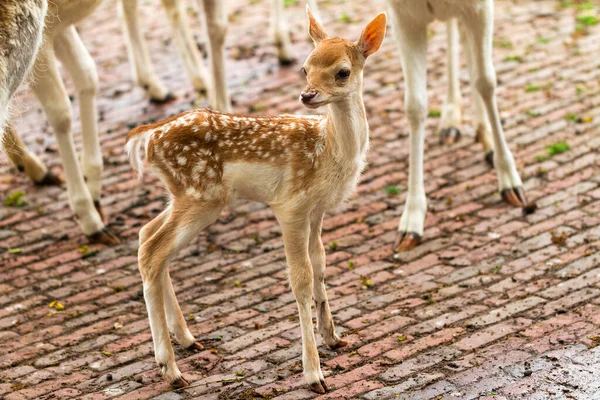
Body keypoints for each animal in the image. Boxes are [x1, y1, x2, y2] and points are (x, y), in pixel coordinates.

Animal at [127, 7, 390, 392]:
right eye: (305, 67)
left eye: (343, 71)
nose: (307, 96)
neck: (330, 152)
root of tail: (148, 136)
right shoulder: (290, 206)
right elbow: (300, 279)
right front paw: (314, 374)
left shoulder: (317, 209)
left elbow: (320, 264)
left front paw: (334, 337)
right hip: (199, 196)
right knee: (152, 251)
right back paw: (171, 369)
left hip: (185, 195)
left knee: (147, 235)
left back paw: (188, 339)